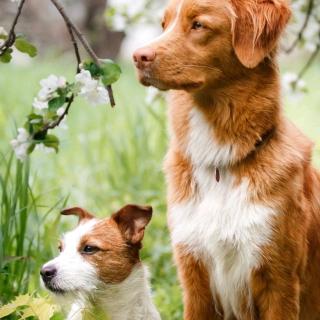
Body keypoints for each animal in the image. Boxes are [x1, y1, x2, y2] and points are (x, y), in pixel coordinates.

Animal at [134, 0, 320, 320]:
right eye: (163, 24)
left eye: (198, 24)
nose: (137, 56)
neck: (220, 161)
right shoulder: (195, 279)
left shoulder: (279, 281)